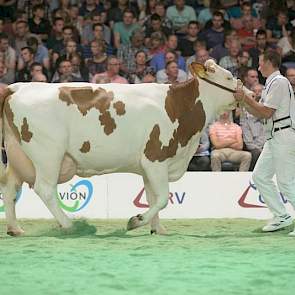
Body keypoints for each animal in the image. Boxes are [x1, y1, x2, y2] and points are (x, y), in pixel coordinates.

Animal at [0, 59, 251, 236]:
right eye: (229, 76)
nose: (251, 93)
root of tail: (18, 87)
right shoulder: (156, 157)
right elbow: (162, 198)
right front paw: (136, 221)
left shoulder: (151, 166)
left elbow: (152, 197)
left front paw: (158, 229)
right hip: (48, 153)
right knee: (44, 189)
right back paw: (69, 225)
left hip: (18, 154)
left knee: (11, 188)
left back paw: (15, 229)